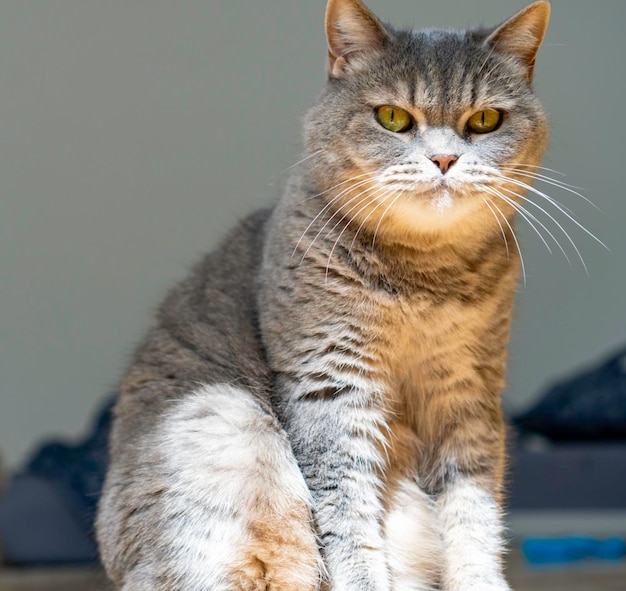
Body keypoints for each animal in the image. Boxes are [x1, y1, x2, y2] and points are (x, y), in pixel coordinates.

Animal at [95, 1, 548, 591]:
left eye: (485, 121)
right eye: (393, 117)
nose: (445, 160)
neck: (423, 277)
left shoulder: (468, 393)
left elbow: (473, 511)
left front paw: (479, 580)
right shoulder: (332, 384)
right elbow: (347, 512)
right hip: (224, 418)